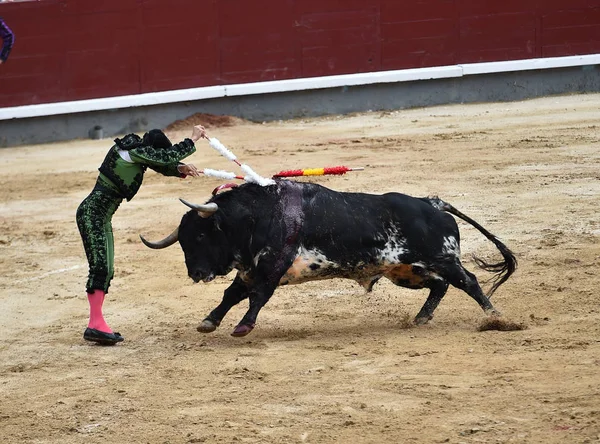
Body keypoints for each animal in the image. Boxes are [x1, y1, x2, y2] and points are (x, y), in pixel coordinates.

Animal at [141, 180, 516, 336]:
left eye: (201, 236)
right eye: (183, 241)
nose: (195, 272)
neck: (257, 216)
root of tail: (433, 203)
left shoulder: (272, 267)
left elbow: (258, 297)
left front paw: (243, 327)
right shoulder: (249, 268)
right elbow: (231, 295)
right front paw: (209, 321)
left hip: (442, 258)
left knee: (468, 281)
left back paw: (496, 317)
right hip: (406, 271)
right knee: (440, 287)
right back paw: (420, 319)